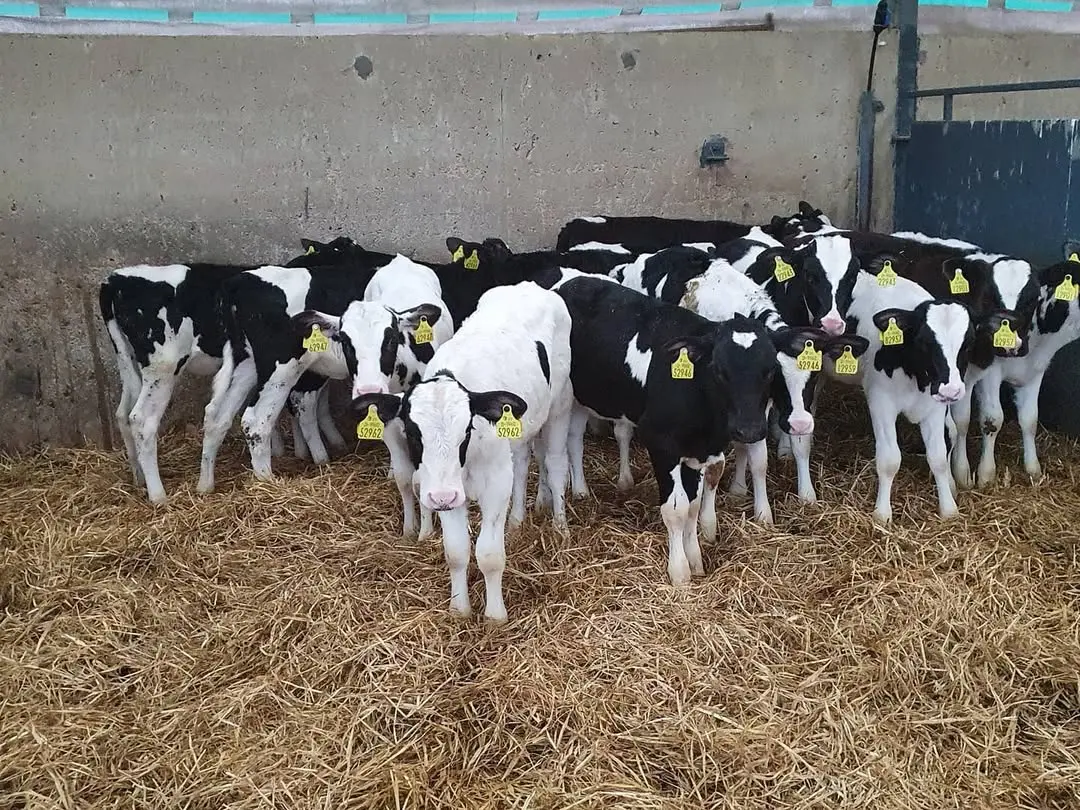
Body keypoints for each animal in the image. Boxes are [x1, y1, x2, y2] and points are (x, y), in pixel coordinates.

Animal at [353, 281, 575, 623]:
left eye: (467, 430)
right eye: (413, 433)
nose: (443, 496)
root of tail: (529, 285)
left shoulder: (494, 486)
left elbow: (490, 555)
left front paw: (495, 616)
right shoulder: (446, 491)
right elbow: (456, 551)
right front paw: (460, 609)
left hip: (560, 407)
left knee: (555, 463)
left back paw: (560, 525)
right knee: (522, 462)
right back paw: (517, 520)